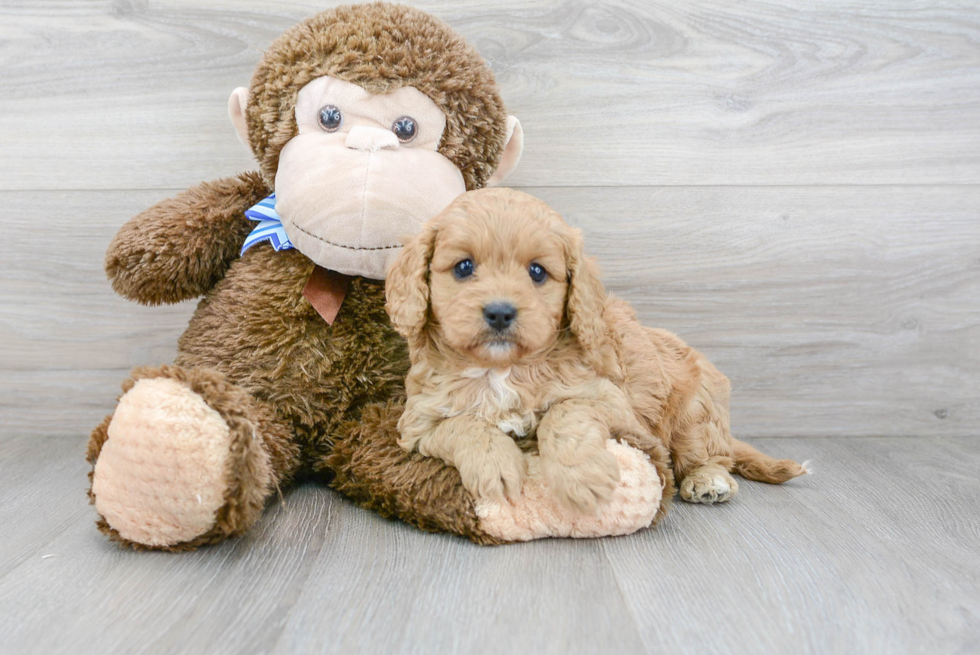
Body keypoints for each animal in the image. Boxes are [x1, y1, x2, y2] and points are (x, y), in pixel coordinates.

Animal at [386, 187, 808, 516]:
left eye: (537, 272)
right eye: (463, 267)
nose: (500, 312)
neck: (503, 368)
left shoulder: (610, 401)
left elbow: (566, 413)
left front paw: (581, 476)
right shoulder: (419, 422)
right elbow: (464, 425)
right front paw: (496, 466)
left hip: (694, 410)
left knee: (710, 454)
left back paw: (708, 480)